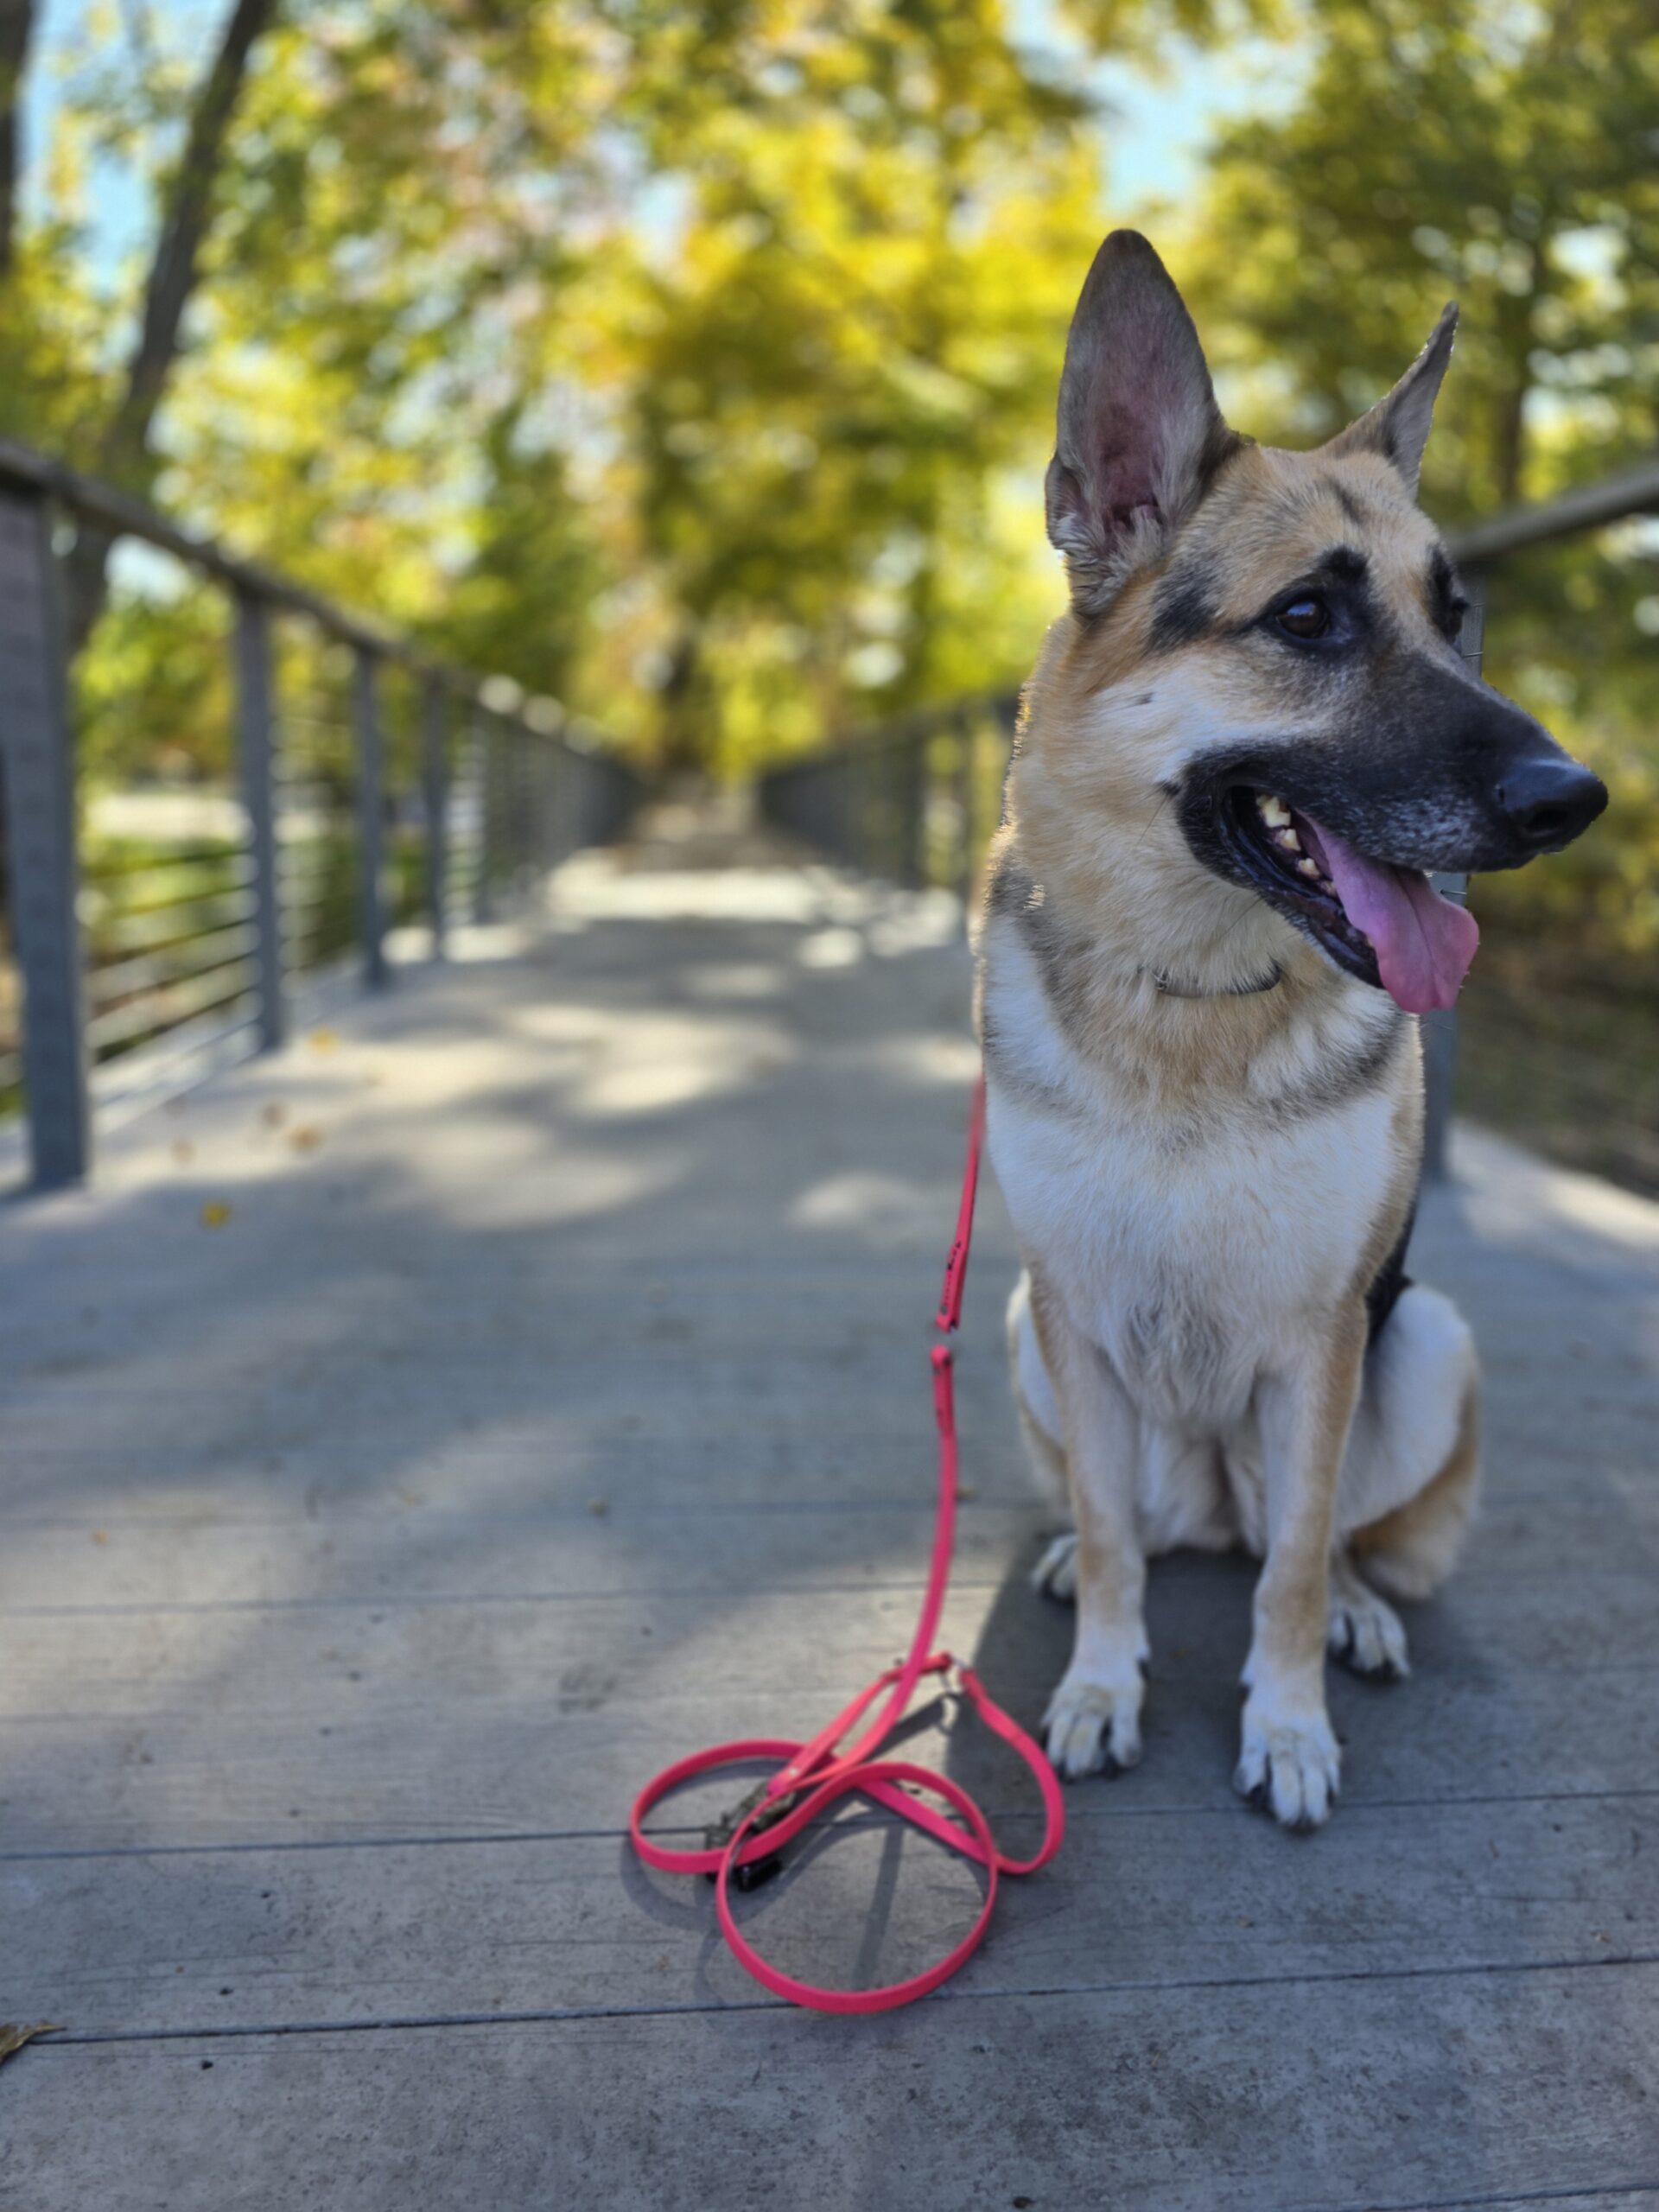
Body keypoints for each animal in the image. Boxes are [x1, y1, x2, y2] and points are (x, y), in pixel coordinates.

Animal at [986, 238, 1610, 1831]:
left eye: (1454, 616)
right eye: (1308, 620)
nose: (1576, 802)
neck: (1192, 1007)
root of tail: (1215, 1491)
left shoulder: (1325, 1342)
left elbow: (1294, 1570)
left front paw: (1287, 1725)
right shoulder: (1072, 1308)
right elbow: (1111, 1531)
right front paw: (1101, 1684)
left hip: (1424, 1341)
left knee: (1314, 1544)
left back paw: (1358, 1617)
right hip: (1029, 1333)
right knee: (1147, 1529)